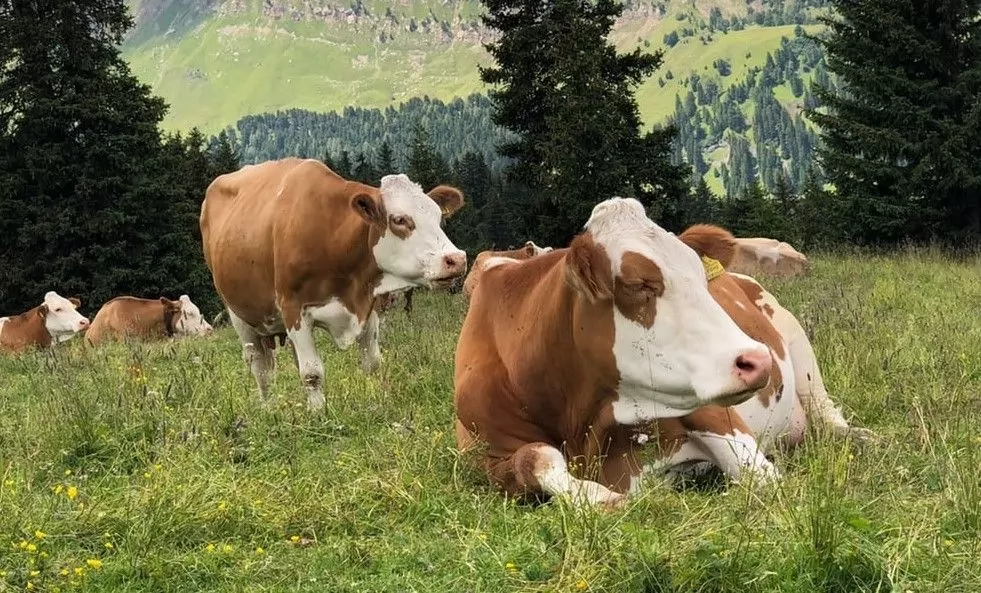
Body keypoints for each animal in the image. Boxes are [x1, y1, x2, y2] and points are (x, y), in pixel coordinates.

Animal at [199, 157, 468, 412]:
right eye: (399, 219)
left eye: (438, 217)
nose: (456, 259)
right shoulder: (293, 308)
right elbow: (311, 373)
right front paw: (319, 414)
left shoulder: (367, 304)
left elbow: (371, 362)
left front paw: (376, 402)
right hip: (239, 315)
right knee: (261, 367)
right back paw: (269, 407)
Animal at [456, 198, 776, 504]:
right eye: (639, 284)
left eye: (701, 277)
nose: (759, 360)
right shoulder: (484, 455)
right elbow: (535, 456)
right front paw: (599, 497)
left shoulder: (709, 411)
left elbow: (760, 477)